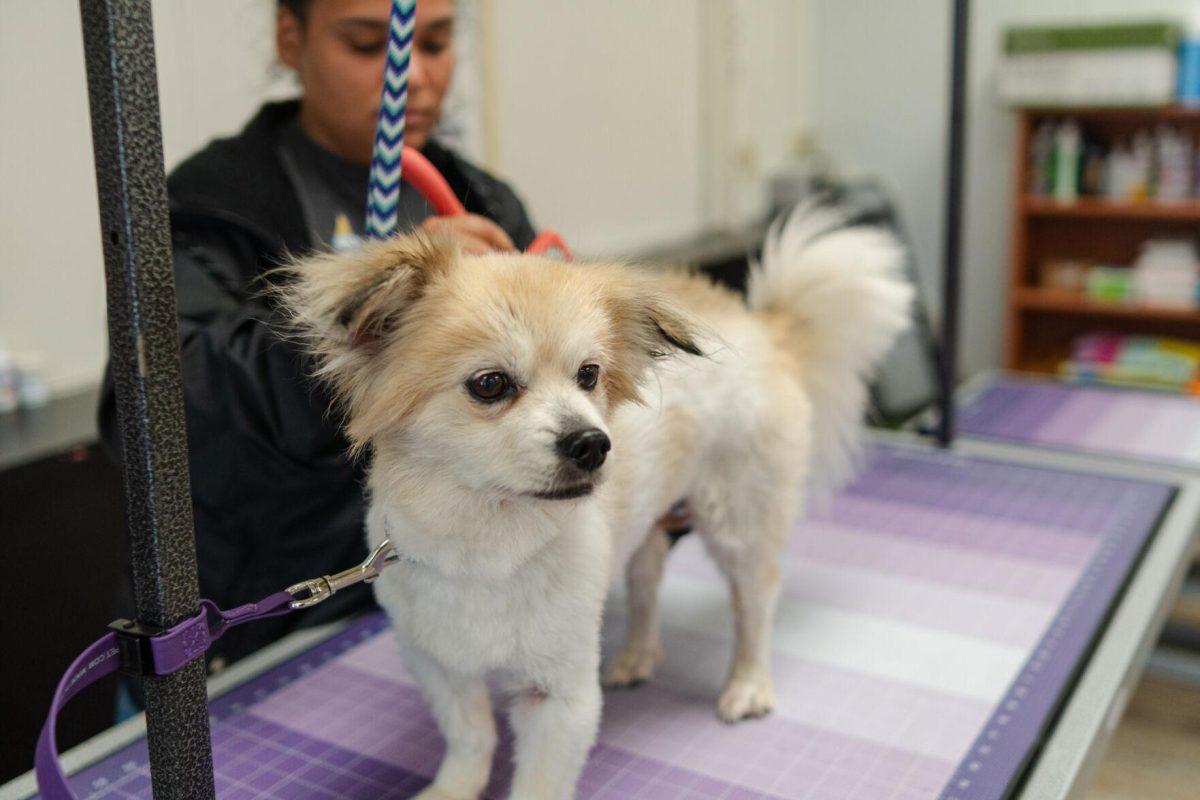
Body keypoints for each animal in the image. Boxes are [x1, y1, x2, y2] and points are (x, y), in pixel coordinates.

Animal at [285, 203, 912, 796]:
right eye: (490, 385)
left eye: (588, 375)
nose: (592, 443)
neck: (488, 541)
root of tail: (763, 324)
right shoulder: (439, 665)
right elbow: (470, 742)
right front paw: (449, 791)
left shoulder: (559, 698)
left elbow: (537, 785)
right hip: (649, 526)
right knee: (648, 577)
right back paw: (637, 655)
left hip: (740, 521)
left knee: (755, 601)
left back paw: (747, 685)